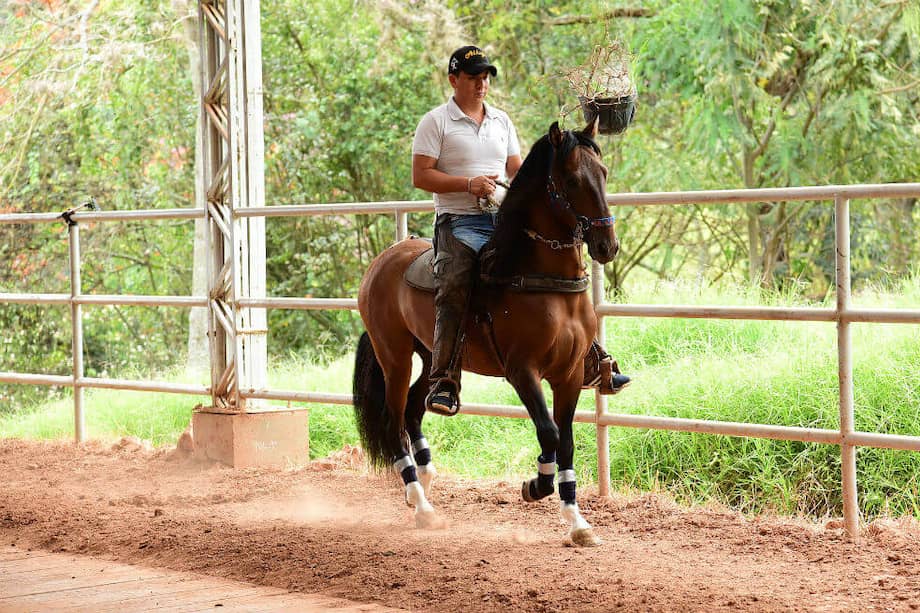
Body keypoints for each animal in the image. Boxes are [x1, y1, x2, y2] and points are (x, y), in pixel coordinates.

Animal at [352, 119, 618, 546]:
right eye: (573, 179)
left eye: (604, 173)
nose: (607, 245)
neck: (536, 278)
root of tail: (381, 263)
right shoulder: (522, 371)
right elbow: (548, 433)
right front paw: (536, 486)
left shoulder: (570, 374)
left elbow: (566, 442)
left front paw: (578, 523)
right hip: (394, 357)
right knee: (394, 421)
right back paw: (421, 503)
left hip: (434, 356)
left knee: (415, 408)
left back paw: (424, 480)